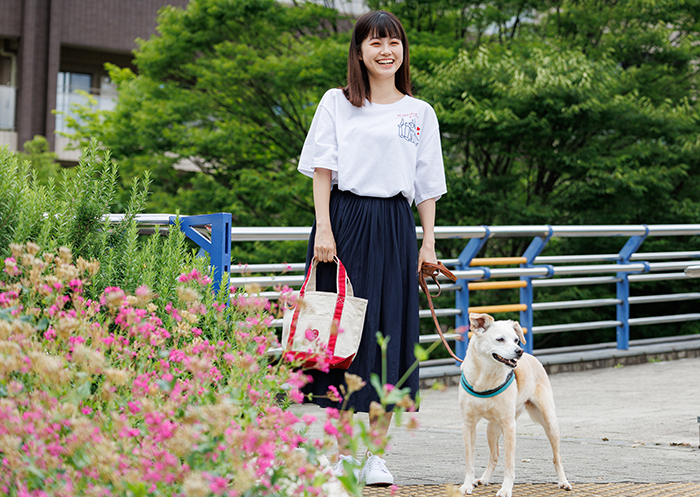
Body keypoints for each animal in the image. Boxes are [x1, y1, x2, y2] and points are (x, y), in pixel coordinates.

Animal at [456, 312, 572, 494]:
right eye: (500, 339)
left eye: (516, 339)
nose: (519, 351)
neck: (486, 377)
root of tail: (532, 357)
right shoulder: (468, 424)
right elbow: (470, 460)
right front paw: (467, 485)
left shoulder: (509, 425)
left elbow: (509, 462)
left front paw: (506, 489)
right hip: (492, 428)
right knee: (494, 455)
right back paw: (484, 479)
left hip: (549, 422)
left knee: (557, 457)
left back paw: (563, 481)